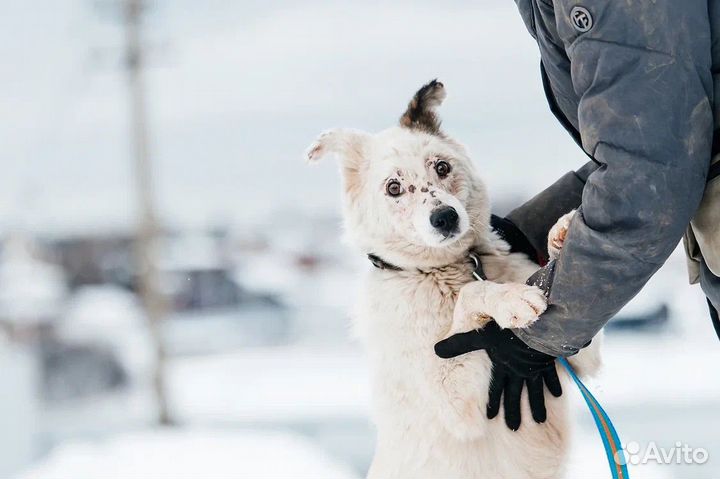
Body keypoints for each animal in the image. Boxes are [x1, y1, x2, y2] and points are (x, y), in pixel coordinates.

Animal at [306, 80, 600, 478]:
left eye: (442, 167)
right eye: (394, 187)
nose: (445, 217)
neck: (448, 270)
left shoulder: (578, 357)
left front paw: (563, 234)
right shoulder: (455, 400)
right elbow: (474, 292)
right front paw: (508, 299)